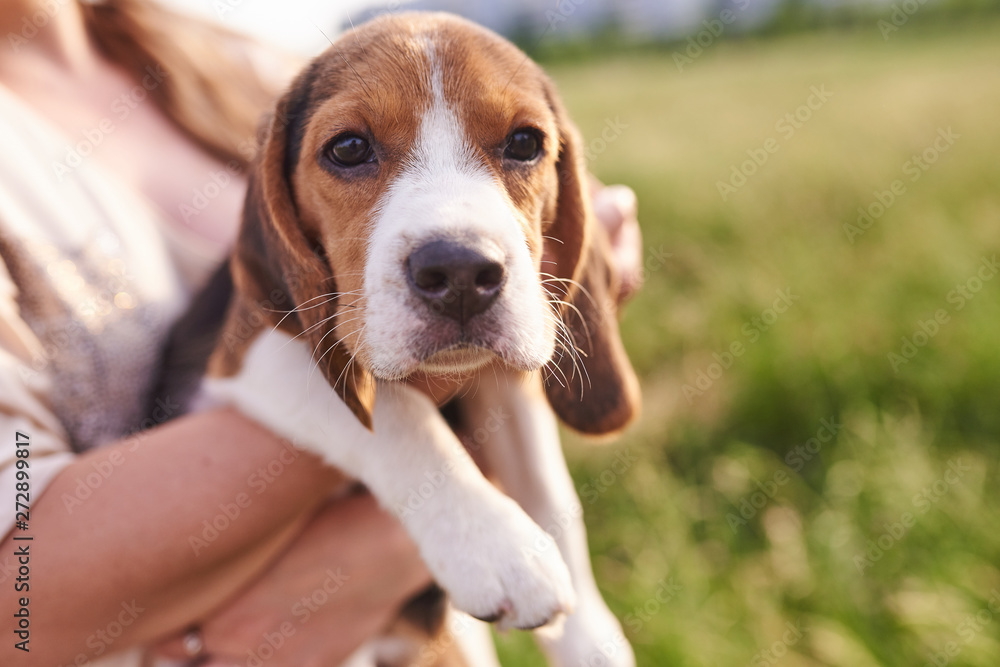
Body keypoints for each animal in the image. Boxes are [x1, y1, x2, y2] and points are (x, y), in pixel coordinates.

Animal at [200, 11, 640, 667]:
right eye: (348, 149)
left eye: (525, 143)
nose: (460, 272)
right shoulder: (254, 350)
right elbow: (401, 419)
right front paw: (497, 546)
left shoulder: (509, 376)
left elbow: (552, 491)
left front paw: (589, 637)